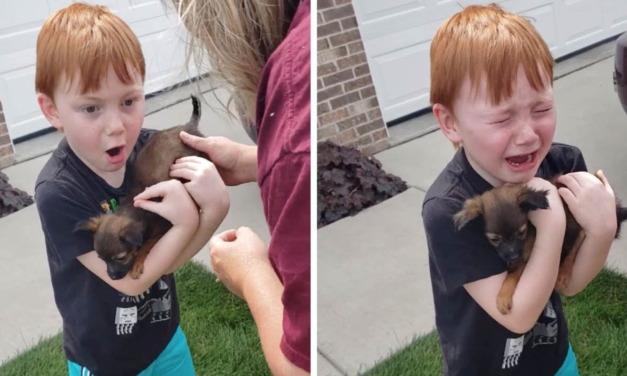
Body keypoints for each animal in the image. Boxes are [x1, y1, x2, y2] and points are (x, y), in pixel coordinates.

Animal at [78, 95, 206, 280]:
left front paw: (137, 265)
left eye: (121, 258)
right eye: (101, 259)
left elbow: (146, 245)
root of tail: (188, 126)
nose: (112, 277)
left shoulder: (163, 229)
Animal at [454, 173, 627, 314]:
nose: (513, 256)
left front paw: (503, 297)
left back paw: (563, 274)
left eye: (521, 233)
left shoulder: (527, 255)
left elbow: (512, 276)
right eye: (495, 239)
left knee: (575, 247)